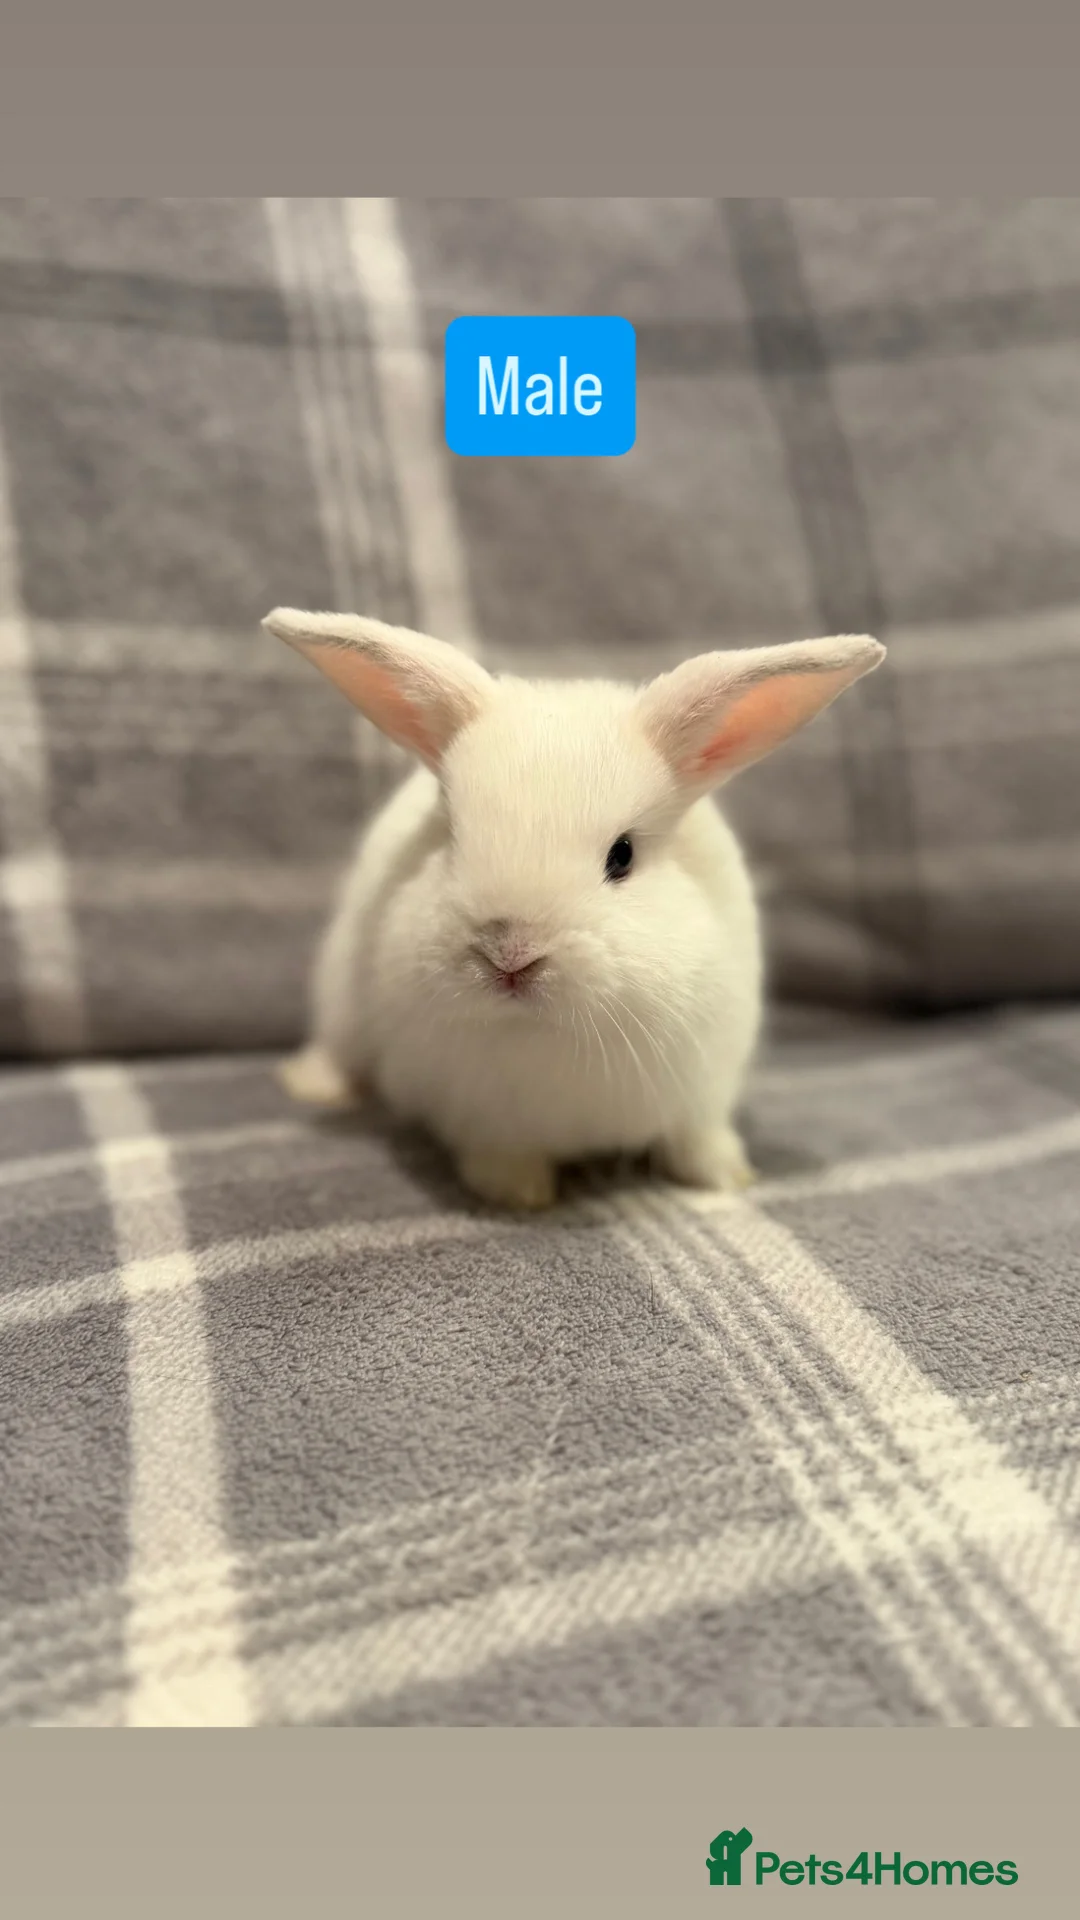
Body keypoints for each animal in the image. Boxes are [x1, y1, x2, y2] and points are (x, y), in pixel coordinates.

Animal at [263, 608, 884, 1211]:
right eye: (452, 836)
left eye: (622, 855)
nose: (509, 955)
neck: (554, 1033)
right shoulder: (480, 1116)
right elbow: (502, 1154)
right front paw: (517, 1195)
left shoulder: (704, 1091)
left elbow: (697, 1140)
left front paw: (726, 1178)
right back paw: (313, 1083)